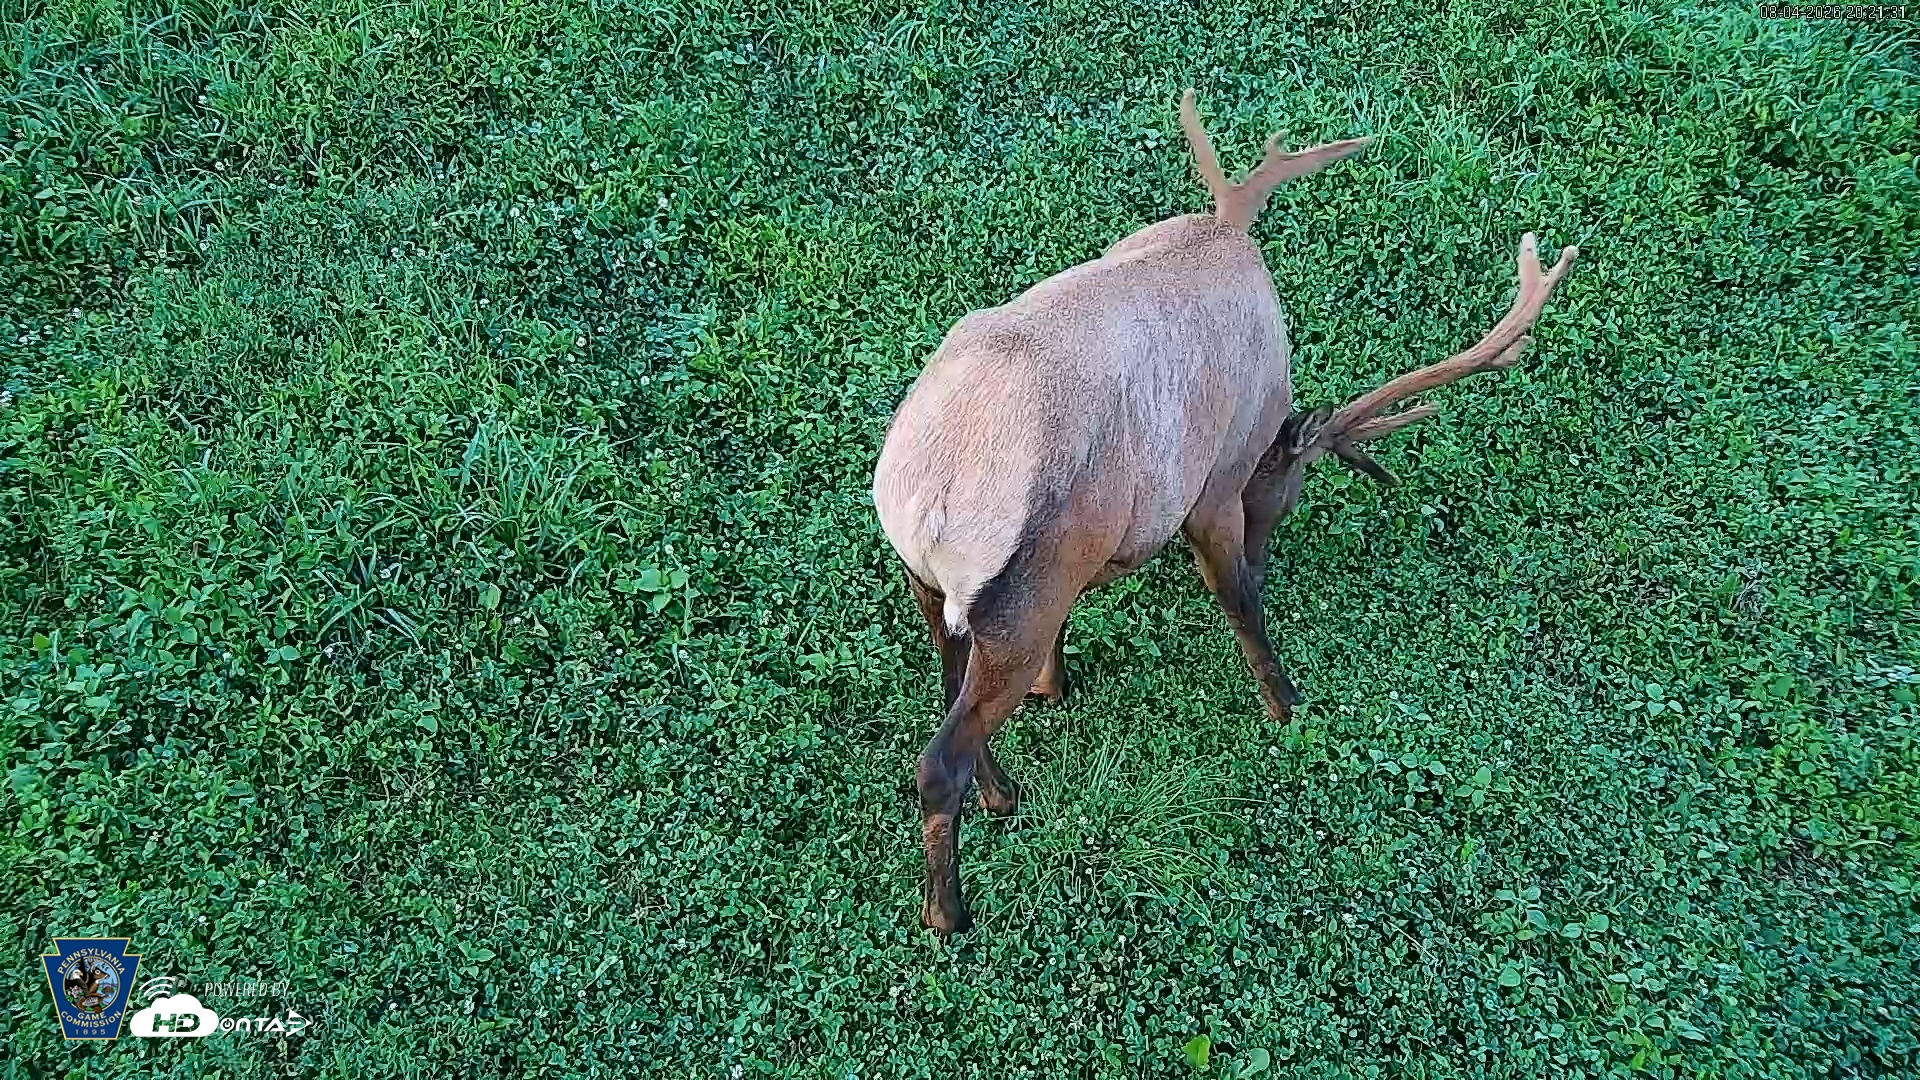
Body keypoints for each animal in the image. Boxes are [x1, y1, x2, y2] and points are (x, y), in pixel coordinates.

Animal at [871, 88, 1578, 934]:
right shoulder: (1216, 483)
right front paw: (1289, 704)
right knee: (934, 760)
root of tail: (927, 503)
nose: (1272, 546)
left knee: (950, 696)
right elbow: (1238, 600)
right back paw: (950, 910)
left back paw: (1002, 791)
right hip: (1017, 600)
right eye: (1292, 487)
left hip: (936, 589)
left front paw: (1057, 685)